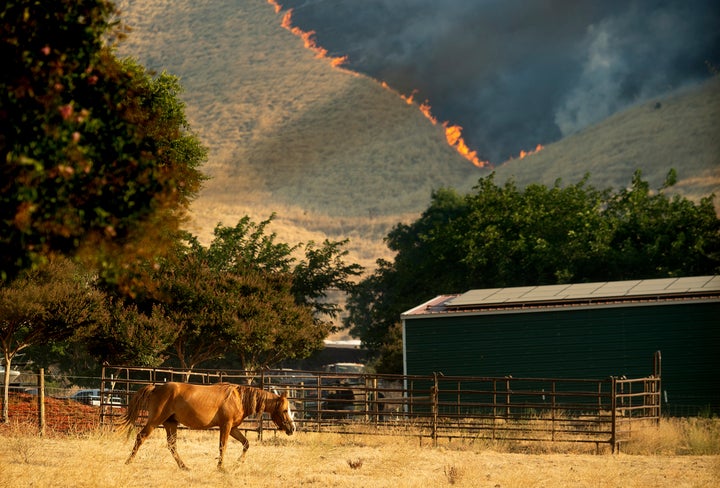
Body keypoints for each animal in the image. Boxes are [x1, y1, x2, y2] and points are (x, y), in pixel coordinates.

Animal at [121, 382, 296, 468]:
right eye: (285, 410)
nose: (292, 429)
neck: (239, 398)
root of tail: (155, 389)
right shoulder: (225, 426)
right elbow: (222, 446)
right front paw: (221, 467)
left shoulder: (233, 428)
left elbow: (246, 443)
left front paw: (238, 463)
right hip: (155, 421)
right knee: (140, 437)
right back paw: (128, 462)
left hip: (170, 423)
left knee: (172, 446)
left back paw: (184, 467)